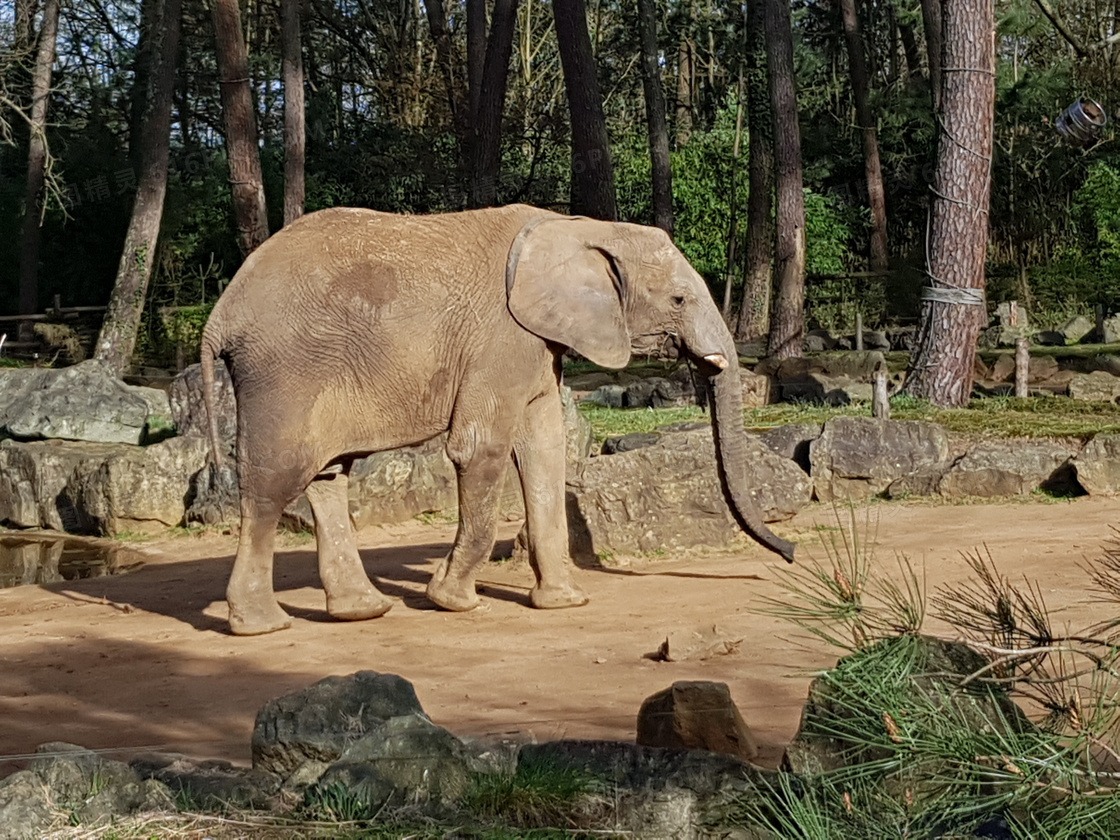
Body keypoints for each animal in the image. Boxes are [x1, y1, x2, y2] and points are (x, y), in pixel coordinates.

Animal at [203, 206, 797, 636]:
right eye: (677, 298)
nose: (789, 555)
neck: (578, 226)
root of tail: (219, 316)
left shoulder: (538, 341)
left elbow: (546, 448)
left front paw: (565, 603)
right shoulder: (502, 338)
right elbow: (479, 447)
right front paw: (451, 600)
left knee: (327, 476)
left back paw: (363, 611)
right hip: (284, 371)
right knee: (275, 482)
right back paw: (262, 627)